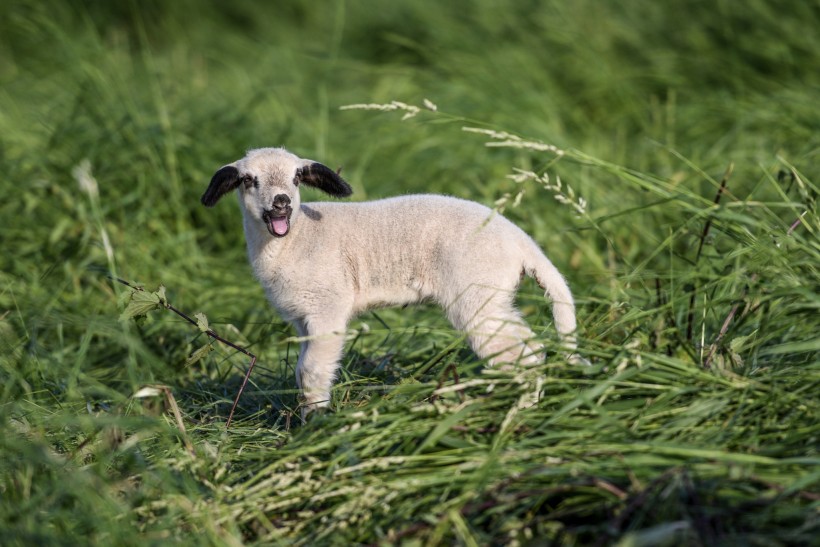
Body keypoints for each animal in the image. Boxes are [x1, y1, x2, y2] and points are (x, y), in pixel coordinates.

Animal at [200, 148, 584, 418]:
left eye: (296, 179)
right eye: (248, 180)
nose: (281, 203)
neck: (296, 239)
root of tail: (520, 241)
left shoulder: (327, 307)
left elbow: (311, 371)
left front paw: (316, 425)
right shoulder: (303, 317)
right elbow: (301, 371)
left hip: (476, 293)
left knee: (523, 353)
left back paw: (520, 411)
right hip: (491, 296)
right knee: (528, 347)